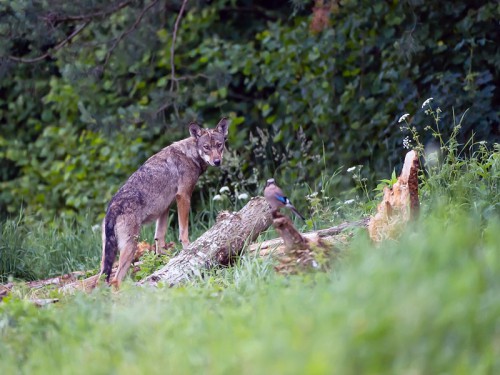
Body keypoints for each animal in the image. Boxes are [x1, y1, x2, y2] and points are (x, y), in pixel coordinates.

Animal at [98, 117, 230, 288]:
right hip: (130, 247)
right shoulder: (183, 196)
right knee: (115, 280)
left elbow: (159, 240)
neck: (190, 154)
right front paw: (188, 250)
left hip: (108, 256)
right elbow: (183, 232)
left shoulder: (165, 208)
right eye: (206, 147)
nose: (217, 161)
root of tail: (112, 209)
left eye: (219, 145)